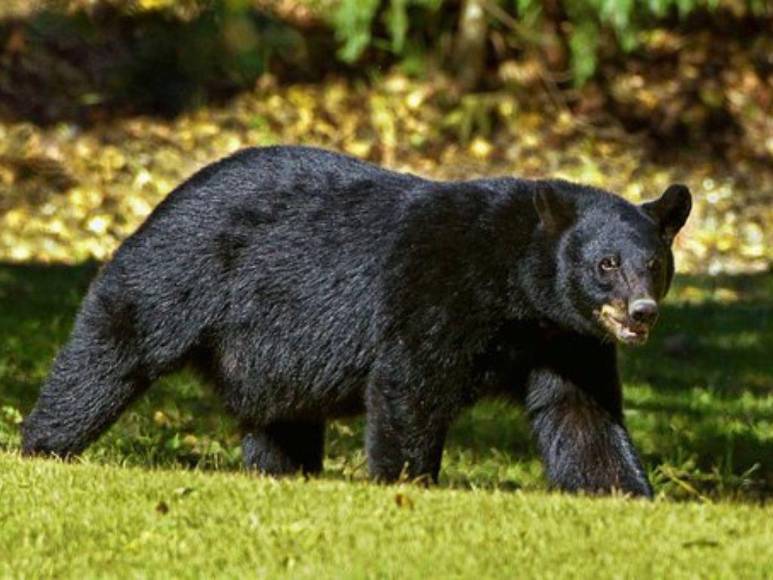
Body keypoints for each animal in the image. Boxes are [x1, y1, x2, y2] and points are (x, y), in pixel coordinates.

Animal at [21, 145, 691, 497]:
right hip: (179, 271)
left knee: (280, 419)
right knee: (112, 349)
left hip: (269, 354)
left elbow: (581, 413)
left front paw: (625, 492)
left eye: (654, 264)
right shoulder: (437, 289)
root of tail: (168, 194)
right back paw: (43, 445)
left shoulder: (565, 338)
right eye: (606, 264)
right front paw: (407, 484)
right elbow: (410, 384)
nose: (642, 312)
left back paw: (283, 473)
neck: (516, 289)